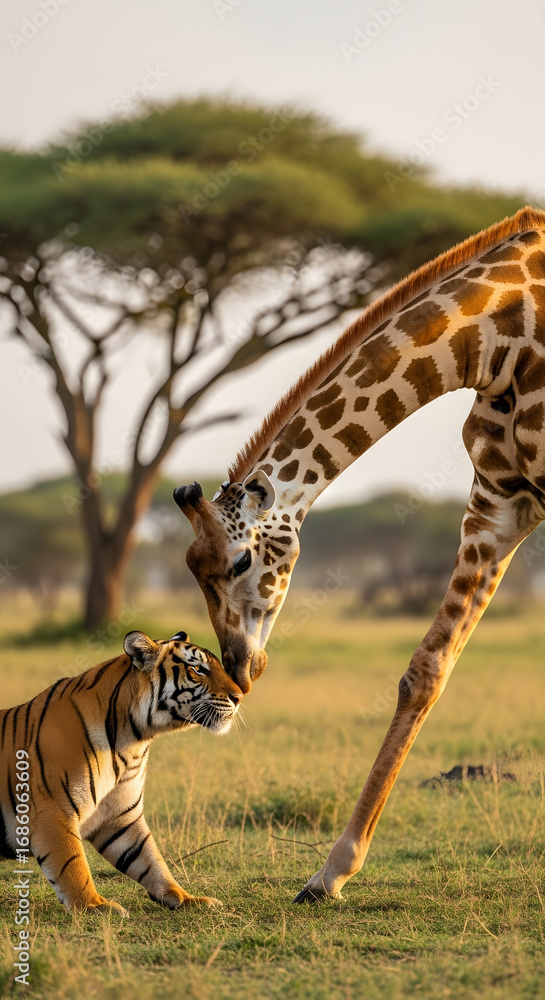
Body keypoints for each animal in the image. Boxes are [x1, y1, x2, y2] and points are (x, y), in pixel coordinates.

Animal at [0, 629, 243, 914]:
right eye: (197, 669)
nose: (239, 697)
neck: (133, 740)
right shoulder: (54, 811)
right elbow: (73, 864)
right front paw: (94, 906)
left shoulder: (120, 816)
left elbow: (149, 859)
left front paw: (187, 899)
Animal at [174, 206, 545, 902]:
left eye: (239, 563)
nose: (239, 667)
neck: (498, 336)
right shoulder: (499, 503)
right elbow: (425, 671)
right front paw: (331, 871)